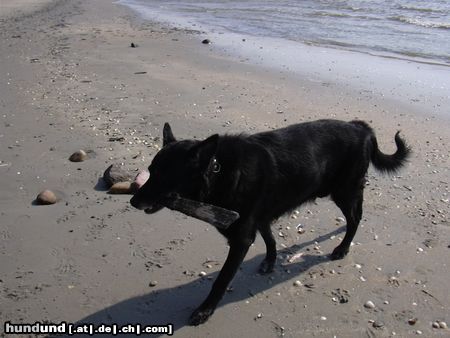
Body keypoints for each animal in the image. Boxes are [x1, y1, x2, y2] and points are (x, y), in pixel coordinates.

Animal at [130, 119, 412, 324]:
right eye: (151, 171)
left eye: (164, 176)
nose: (133, 201)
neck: (218, 170)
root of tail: (360, 127)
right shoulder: (261, 218)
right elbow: (270, 239)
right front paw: (270, 261)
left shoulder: (242, 238)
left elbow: (222, 279)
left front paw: (205, 310)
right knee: (356, 214)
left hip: (344, 191)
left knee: (355, 218)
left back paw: (342, 248)